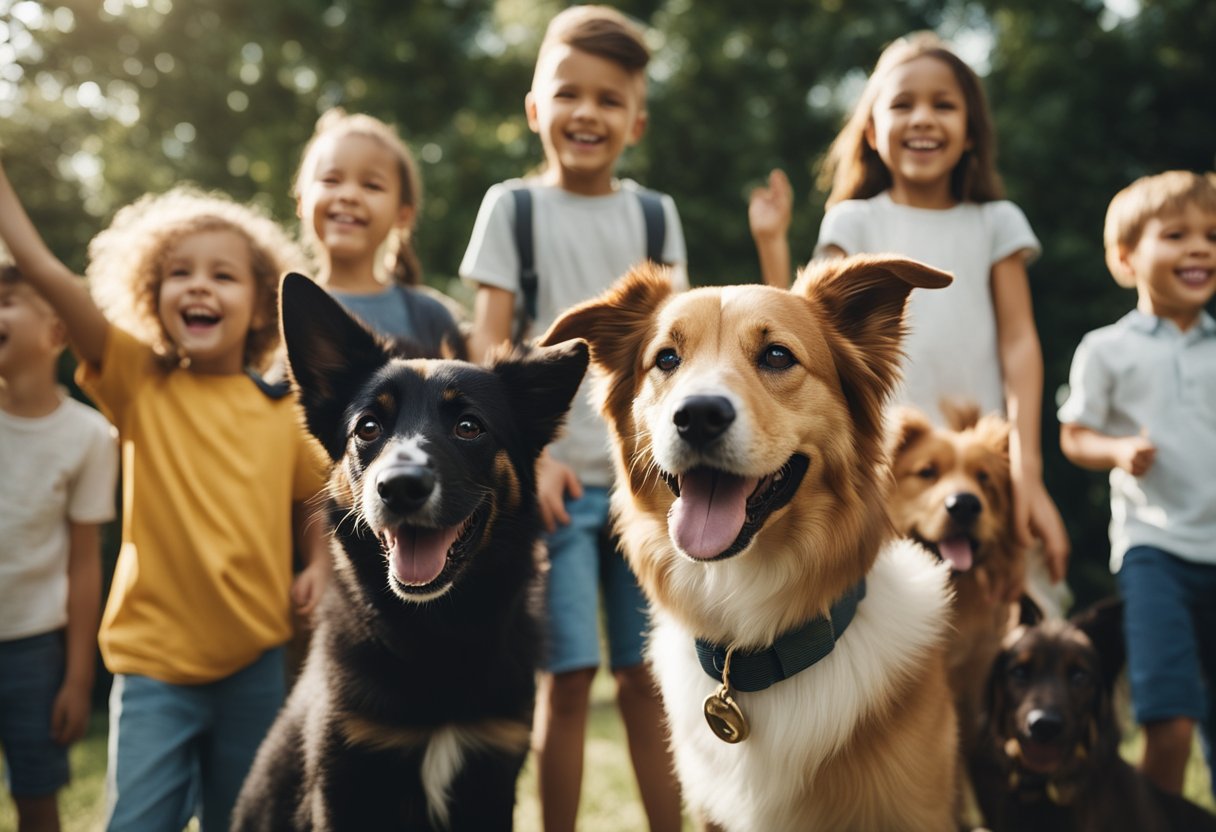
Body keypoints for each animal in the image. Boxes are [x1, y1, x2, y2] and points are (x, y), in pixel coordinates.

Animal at [232, 274, 588, 832]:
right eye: (368, 428)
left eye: (469, 426)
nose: (399, 487)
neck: (435, 633)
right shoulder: (345, 781)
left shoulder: (492, 776)